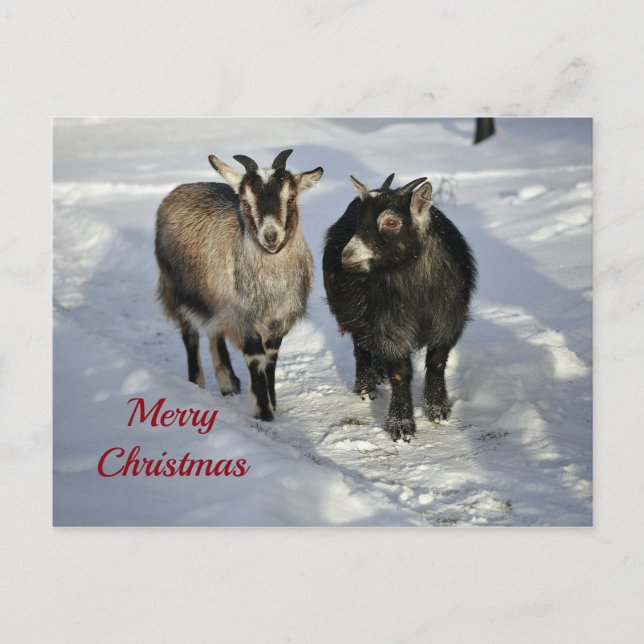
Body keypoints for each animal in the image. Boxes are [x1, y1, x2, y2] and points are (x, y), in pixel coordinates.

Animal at [155, 149, 323, 421]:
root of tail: (183, 187)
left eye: (291, 196)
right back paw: (196, 383)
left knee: (214, 331)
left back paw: (229, 383)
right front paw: (263, 412)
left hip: (214, 299)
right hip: (175, 288)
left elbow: (271, 357)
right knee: (189, 332)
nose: (271, 236)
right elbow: (256, 357)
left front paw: (272, 402)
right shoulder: (243, 317)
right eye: (244, 199)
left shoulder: (279, 318)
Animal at [323, 173, 476, 441]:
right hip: (356, 315)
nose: (347, 256)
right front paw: (401, 425)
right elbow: (399, 372)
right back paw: (365, 387)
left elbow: (437, 362)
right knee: (361, 346)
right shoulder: (389, 325)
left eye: (391, 222)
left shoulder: (447, 320)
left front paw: (438, 409)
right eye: (359, 220)